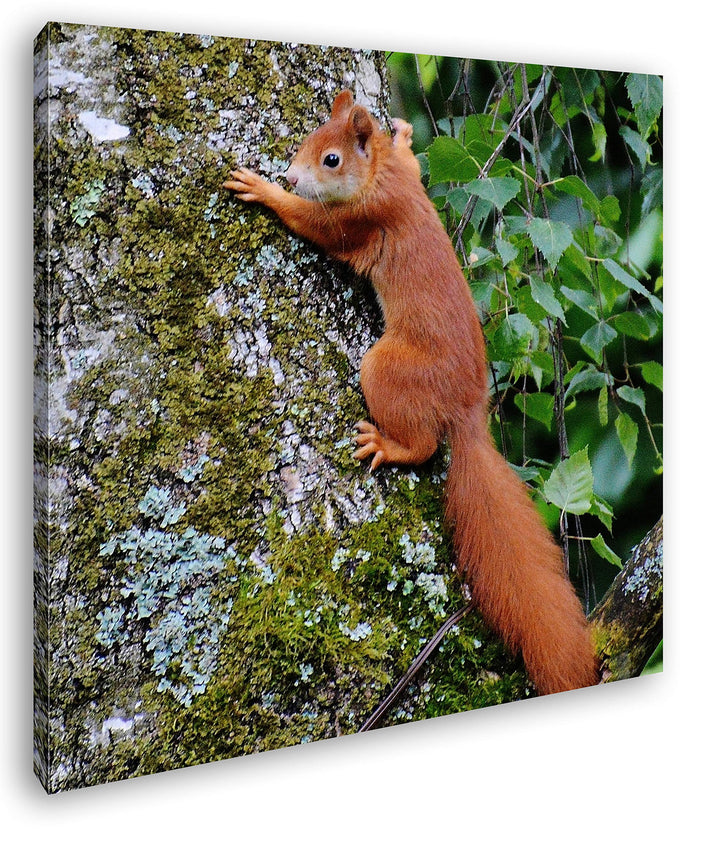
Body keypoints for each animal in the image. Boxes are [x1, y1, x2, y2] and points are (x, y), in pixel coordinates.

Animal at [223, 90, 598, 696]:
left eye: (330, 160)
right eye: (307, 140)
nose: (292, 174)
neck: (379, 175)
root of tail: (468, 413)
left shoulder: (359, 220)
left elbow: (314, 224)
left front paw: (265, 190)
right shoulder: (404, 176)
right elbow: (412, 159)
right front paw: (400, 132)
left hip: (386, 369)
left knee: (422, 446)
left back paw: (388, 445)